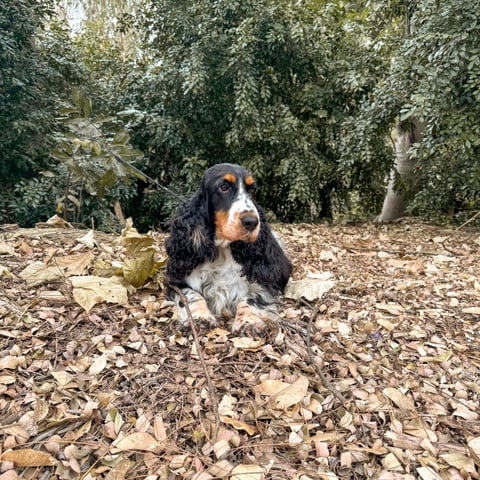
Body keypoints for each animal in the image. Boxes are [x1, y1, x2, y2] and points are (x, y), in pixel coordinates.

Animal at [165, 163, 292, 336]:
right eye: (224, 187)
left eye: (252, 189)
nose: (252, 222)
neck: (222, 251)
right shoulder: (176, 282)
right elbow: (192, 295)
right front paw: (200, 317)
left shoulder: (267, 284)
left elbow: (250, 299)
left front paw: (248, 322)